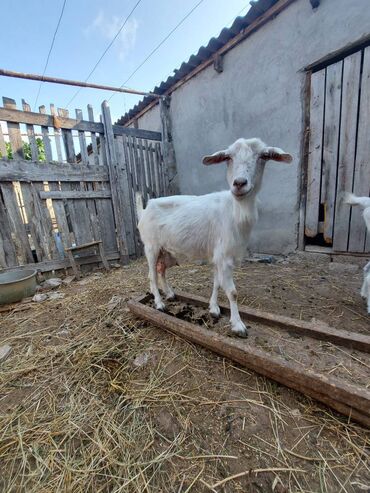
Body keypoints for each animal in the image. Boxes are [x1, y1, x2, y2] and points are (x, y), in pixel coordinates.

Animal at [138, 136, 292, 336]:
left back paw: (170, 293)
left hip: (167, 252)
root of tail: (144, 209)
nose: (239, 183)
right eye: (228, 157)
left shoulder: (218, 255)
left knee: (161, 270)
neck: (235, 211)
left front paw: (214, 308)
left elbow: (217, 283)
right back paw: (159, 303)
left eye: (263, 156)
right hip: (151, 246)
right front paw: (238, 325)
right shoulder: (224, 255)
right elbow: (232, 291)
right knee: (151, 275)